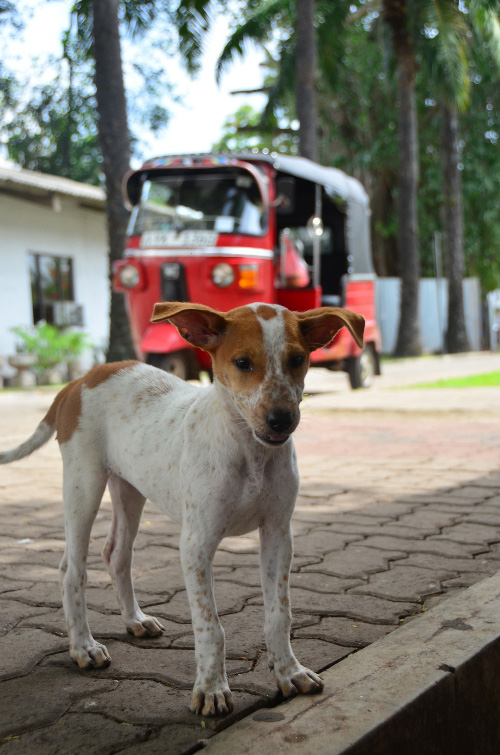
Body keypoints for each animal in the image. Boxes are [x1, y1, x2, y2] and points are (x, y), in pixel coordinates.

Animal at [1, 300, 366, 716]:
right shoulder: (196, 544)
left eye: (297, 359)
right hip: (83, 486)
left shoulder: (278, 533)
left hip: (130, 488)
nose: (281, 419)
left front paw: (289, 672)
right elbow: (211, 627)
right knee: (71, 569)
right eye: (243, 363)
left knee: (116, 554)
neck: (248, 449)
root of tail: (81, 379)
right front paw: (211, 689)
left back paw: (135, 620)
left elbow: (279, 614)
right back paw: (83, 647)